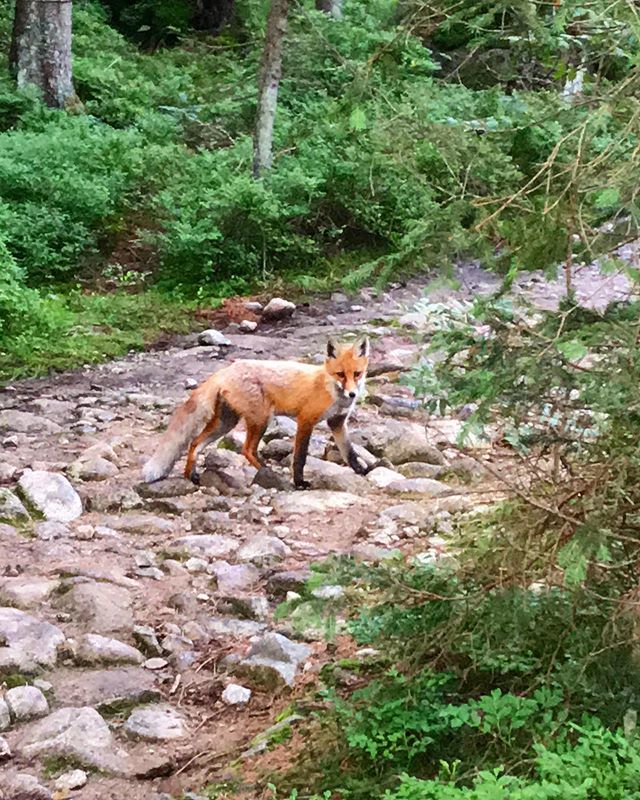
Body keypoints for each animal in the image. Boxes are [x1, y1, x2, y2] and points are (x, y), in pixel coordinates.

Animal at [142, 337, 371, 489]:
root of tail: (226, 370)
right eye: (340, 374)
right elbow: (300, 457)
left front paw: (361, 471)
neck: (331, 391)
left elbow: (349, 453)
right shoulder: (305, 420)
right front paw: (299, 482)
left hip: (226, 423)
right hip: (261, 419)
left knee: (195, 443)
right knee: (247, 449)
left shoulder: (337, 423)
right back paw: (268, 472)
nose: (352, 394)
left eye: (357, 374)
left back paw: (191, 476)